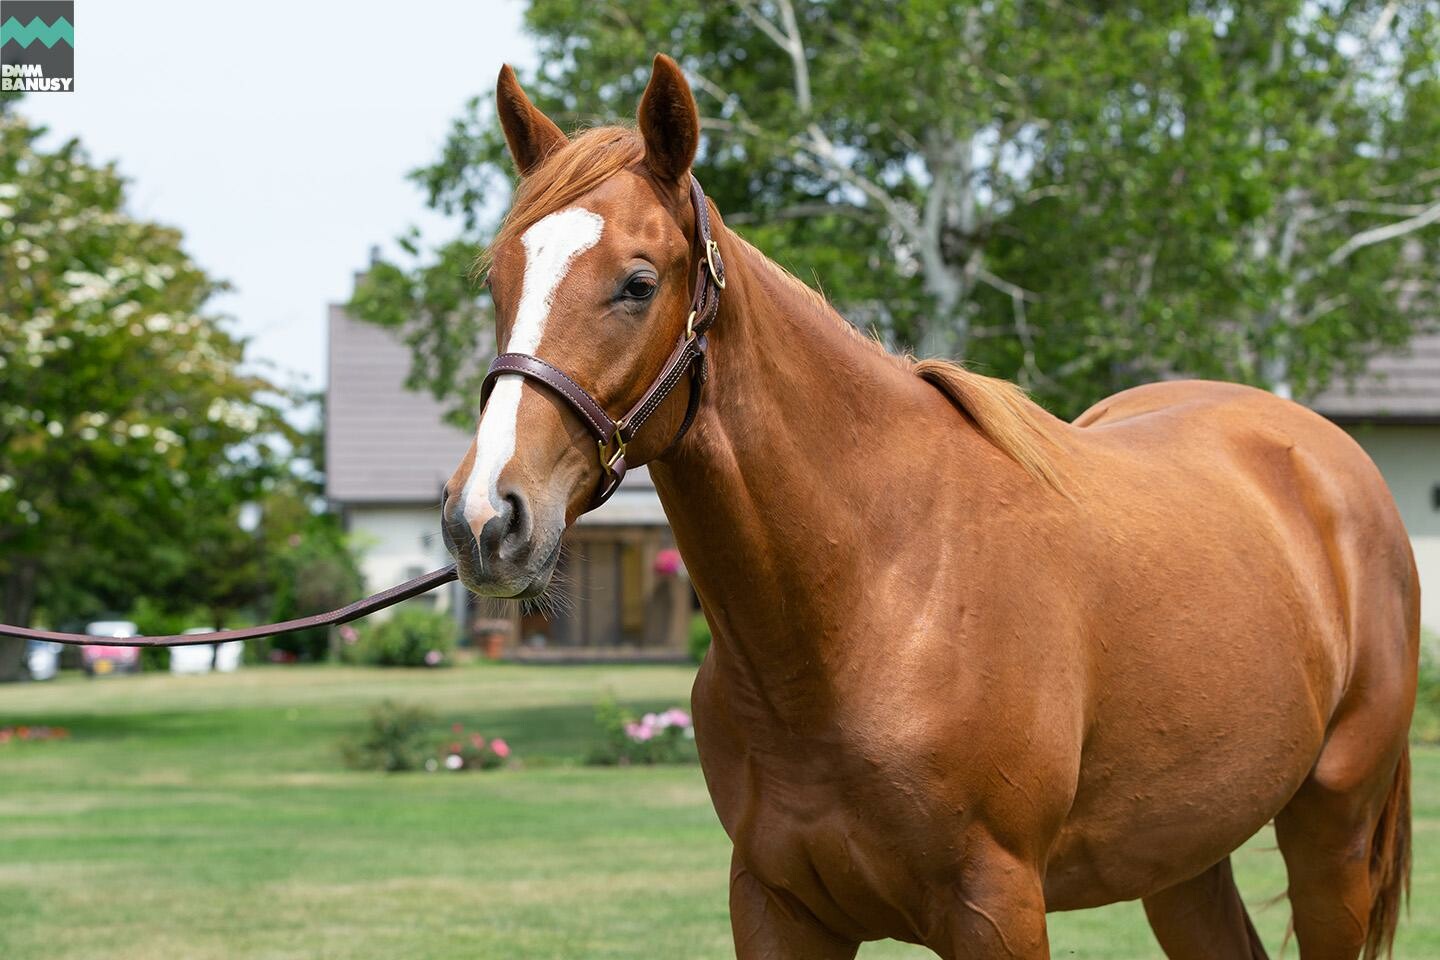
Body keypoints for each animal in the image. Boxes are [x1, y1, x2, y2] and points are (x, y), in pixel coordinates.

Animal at [446, 56, 1416, 955]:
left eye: (638, 283)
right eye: (496, 281)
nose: (486, 519)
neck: (879, 596)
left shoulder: (997, 909)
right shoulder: (775, 905)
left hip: (1331, 833)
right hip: (1180, 856)